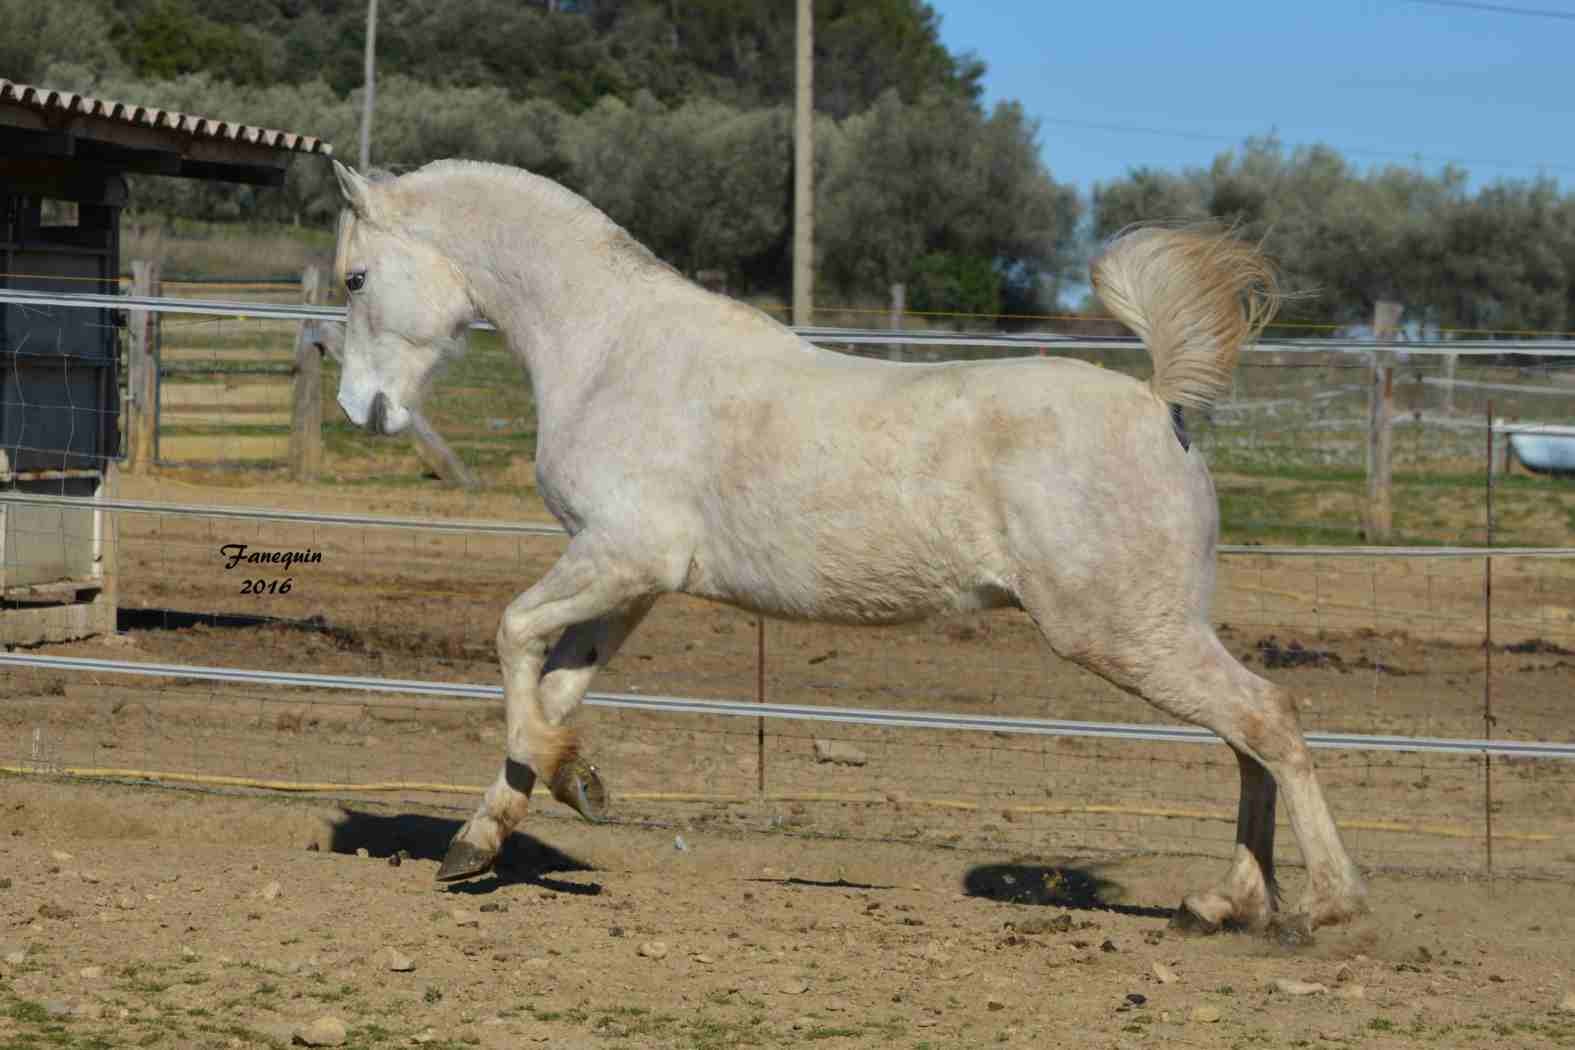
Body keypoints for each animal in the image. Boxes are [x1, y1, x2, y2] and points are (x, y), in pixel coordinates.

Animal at [329, 158, 1367, 938]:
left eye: (353, 279)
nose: (362, 410)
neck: (610, 350)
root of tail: (1162, 407)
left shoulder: (623, 558)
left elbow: (511, 637)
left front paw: (572, 786)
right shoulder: (627, 585)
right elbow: (551, 688)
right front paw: (491, 835)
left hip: (1121, 631)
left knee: (1267, 720)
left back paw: (1320, 907)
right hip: (1159, 629)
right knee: (1246, 737)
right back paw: (1221, 904)